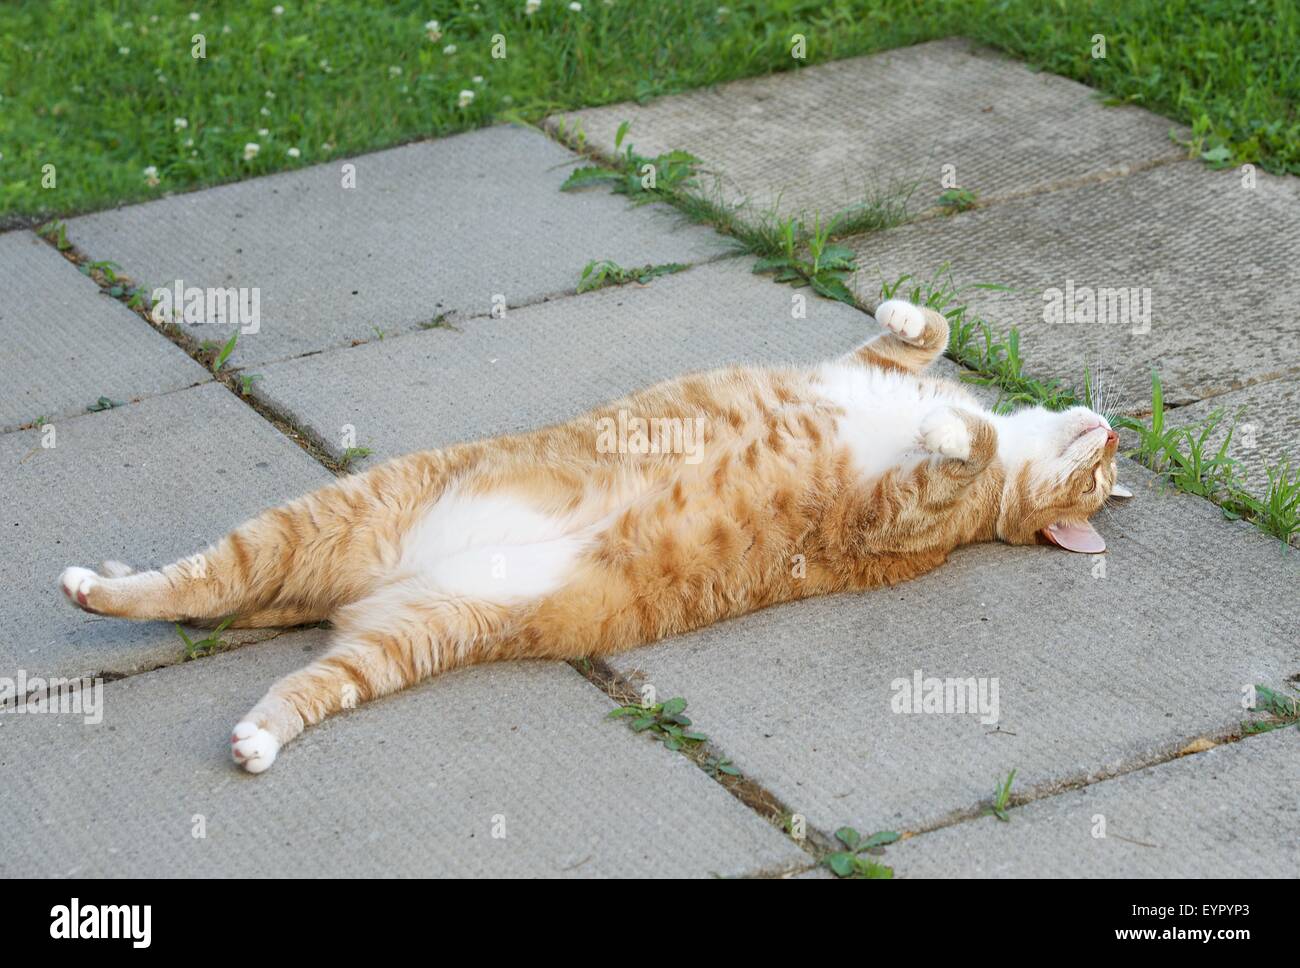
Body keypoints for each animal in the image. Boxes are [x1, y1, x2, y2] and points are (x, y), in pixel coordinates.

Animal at [58, 301, 1128, 769]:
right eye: (1106, 474)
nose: (1115, 431)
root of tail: (357, 591)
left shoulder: (895, 516)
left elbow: (959, 445)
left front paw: (959, 433)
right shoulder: (859, 366)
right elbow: (927, 334)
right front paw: (914, 322)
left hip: (401, 636)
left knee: (264, 643)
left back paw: (216, 698)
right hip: (339, 527)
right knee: (207, 584)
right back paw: (111, 582)